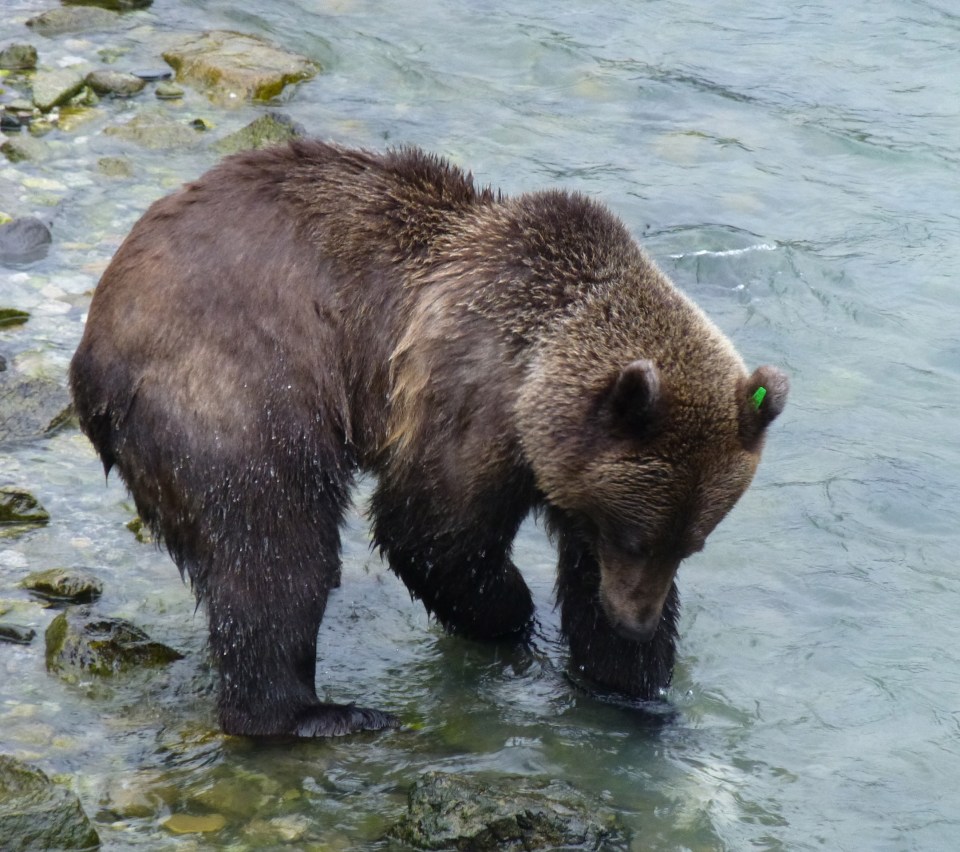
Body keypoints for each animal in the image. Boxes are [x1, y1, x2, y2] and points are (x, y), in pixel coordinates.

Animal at [69, 140, 787, 737]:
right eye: (638, 537)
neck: (538, 369)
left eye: (691, 543)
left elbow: (581, 569)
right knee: (274, 543)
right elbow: (432, 529)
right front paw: (516, 623)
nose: (633, 619)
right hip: (241, 388)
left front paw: (632, 687)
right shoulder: (470, 398)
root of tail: (93, 351)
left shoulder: (577, 475)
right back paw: (313, 714)